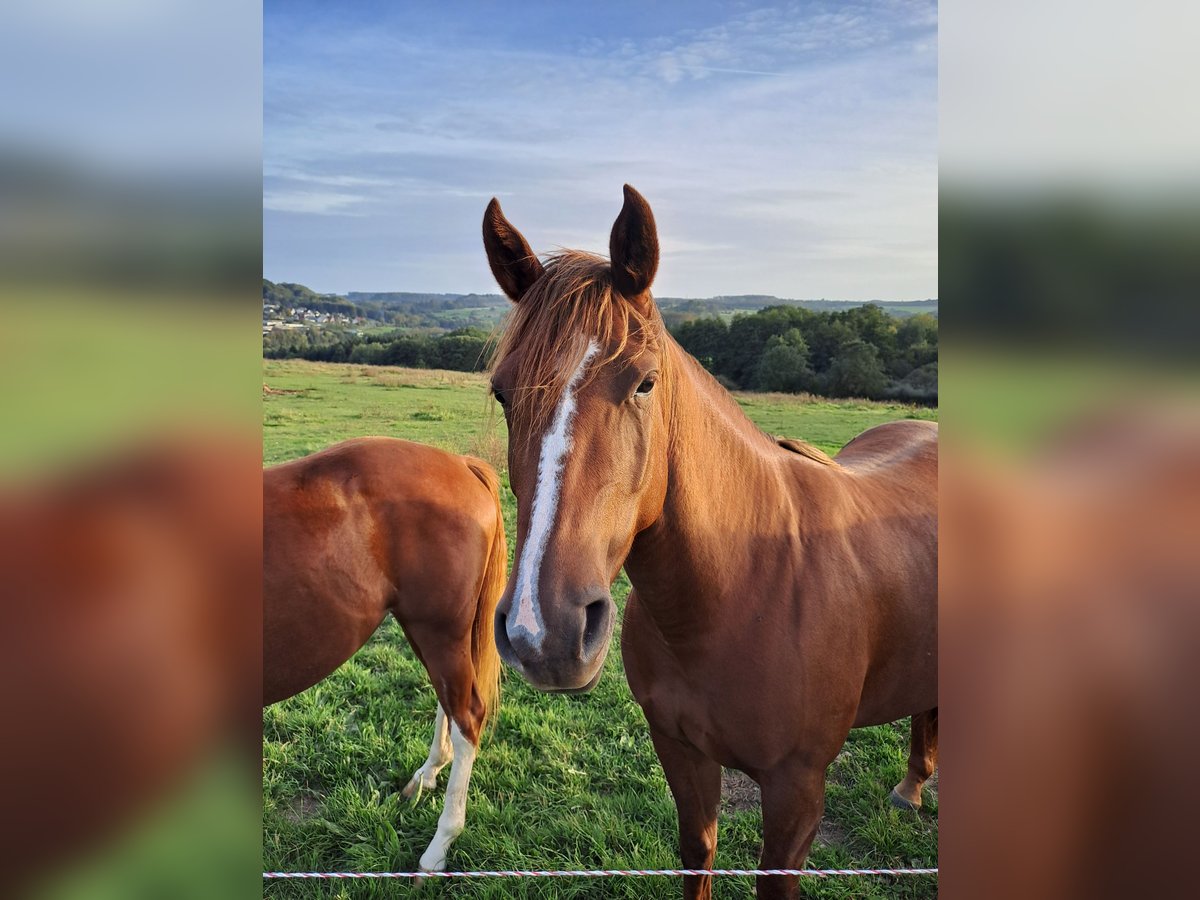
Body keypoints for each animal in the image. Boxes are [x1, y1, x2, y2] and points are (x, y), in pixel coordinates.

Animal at [262, 436, 506, 873]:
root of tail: (461, 463)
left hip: (438, 629)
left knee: (467, 717)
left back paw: (438, 848)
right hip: (429, 632)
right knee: (449, 701)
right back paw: (427, 774)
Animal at [477, 187, 936, 897]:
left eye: (644, 381)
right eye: (503, 391)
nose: (541, 634)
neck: (744, 585)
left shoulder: (797, 791)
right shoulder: (681, 751)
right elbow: (699, 850)